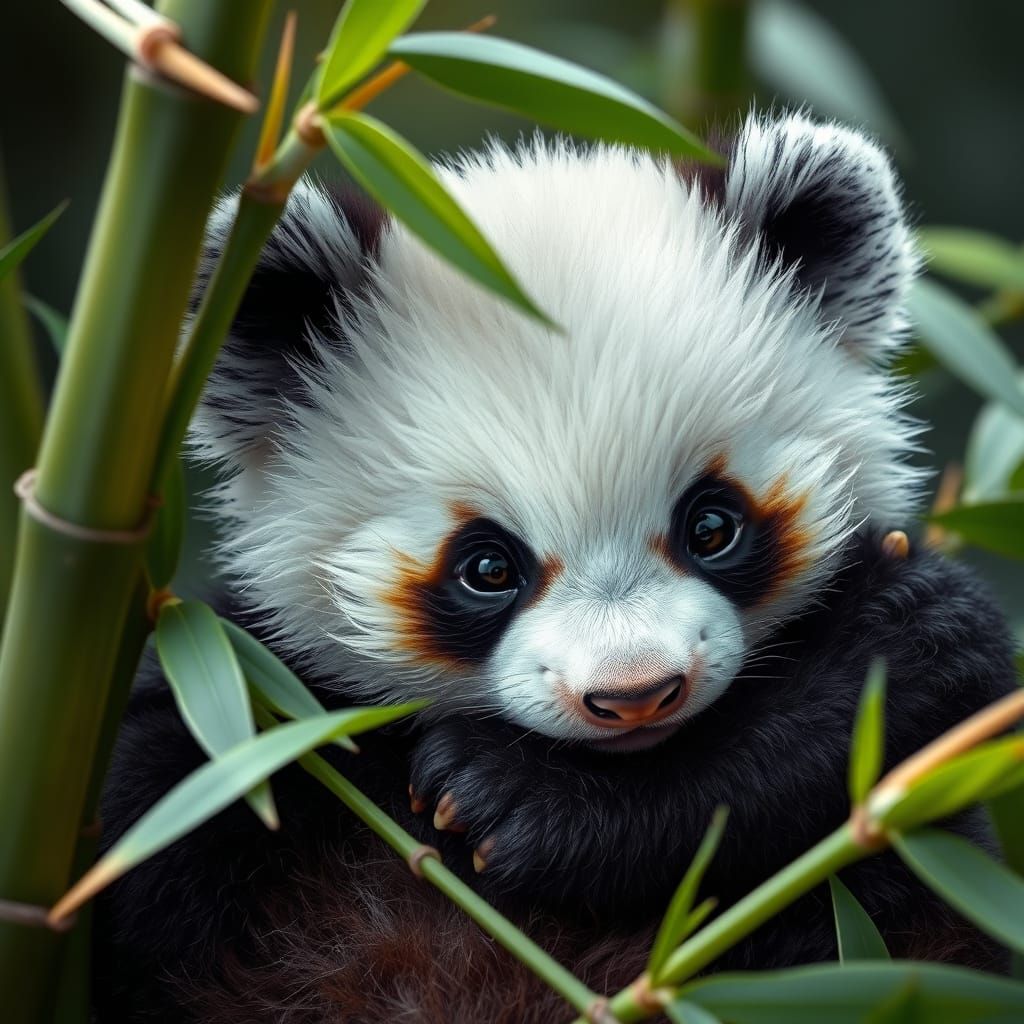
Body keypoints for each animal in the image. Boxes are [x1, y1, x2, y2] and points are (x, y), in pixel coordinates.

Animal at [94, 112, 1018, 1022]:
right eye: (487, 567)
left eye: (711, 524)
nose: (635, 693)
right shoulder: (242, 704)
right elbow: (150, 815)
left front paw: (508, 799)